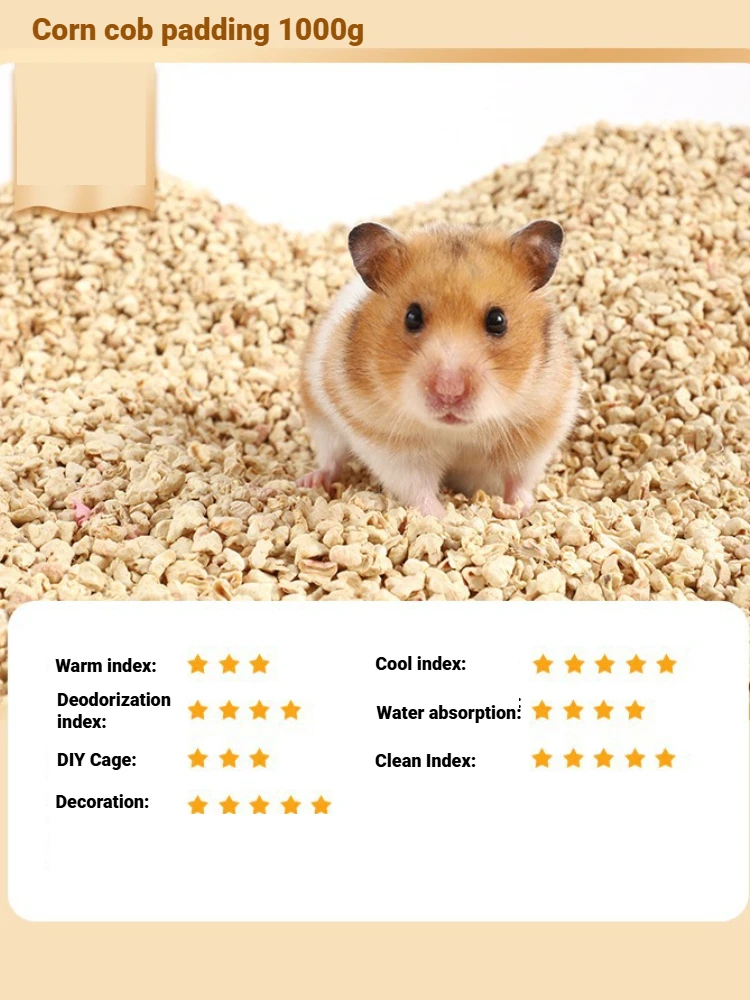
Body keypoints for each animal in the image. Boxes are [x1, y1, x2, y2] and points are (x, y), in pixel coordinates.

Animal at [298, 219, 580, 518]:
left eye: (497, 320)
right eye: (412, 316)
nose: (449, 392)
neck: (456, 432)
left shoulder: (537, 426)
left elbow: (519, 477)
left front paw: (519, 509)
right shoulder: (389, 443)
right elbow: (416, 487)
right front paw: (442, 517)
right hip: (322, 422)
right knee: (331, 458)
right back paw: (310, 481)